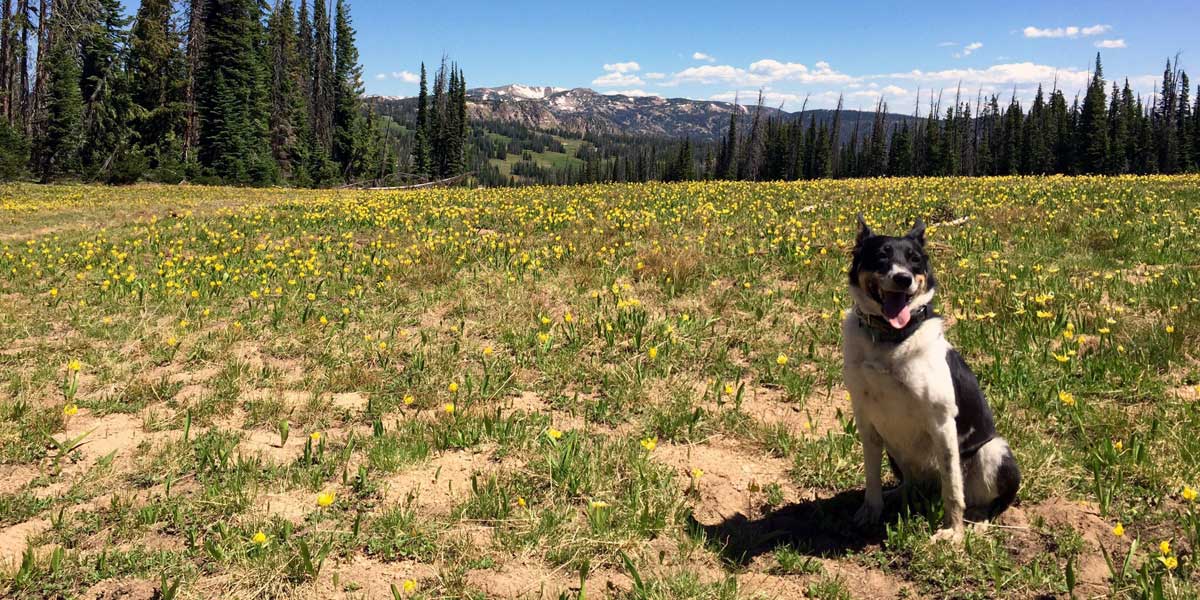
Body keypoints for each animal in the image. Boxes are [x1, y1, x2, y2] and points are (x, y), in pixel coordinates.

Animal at [844, 217, 1022, 544]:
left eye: (914, 259)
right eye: (881, 256)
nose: (903, 279)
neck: (889, 340)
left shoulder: (942, 424)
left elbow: (953, 490)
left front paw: (954, 531)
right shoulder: (866, 420)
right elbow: (871, 477)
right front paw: (871, 511)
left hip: (994, 450)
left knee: (984, 501)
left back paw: (977, 521)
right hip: (895, 452)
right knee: (910, 484)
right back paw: (896, 494)